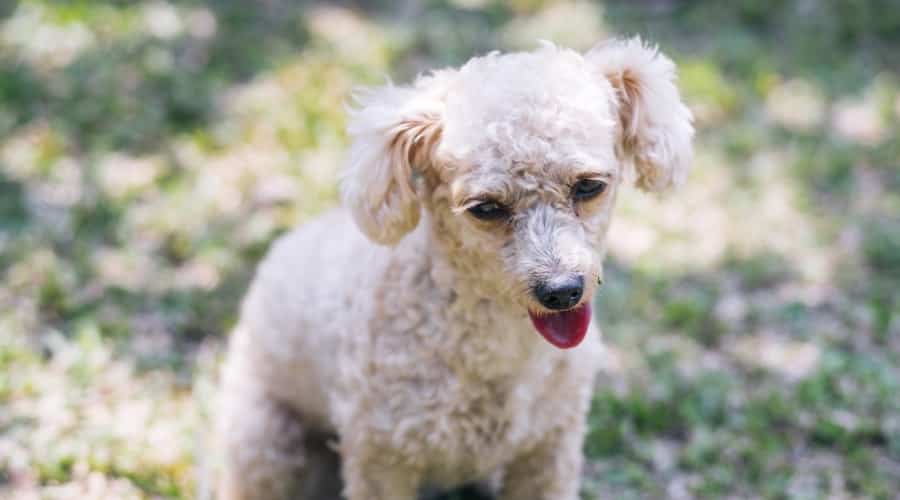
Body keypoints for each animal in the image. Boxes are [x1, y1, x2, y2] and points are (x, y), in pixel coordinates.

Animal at [220, 37, 696, 498]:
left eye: (589, 186)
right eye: (485, 208)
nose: (562, 291)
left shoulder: (549, 448)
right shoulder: (380, 457)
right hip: (266, 443)